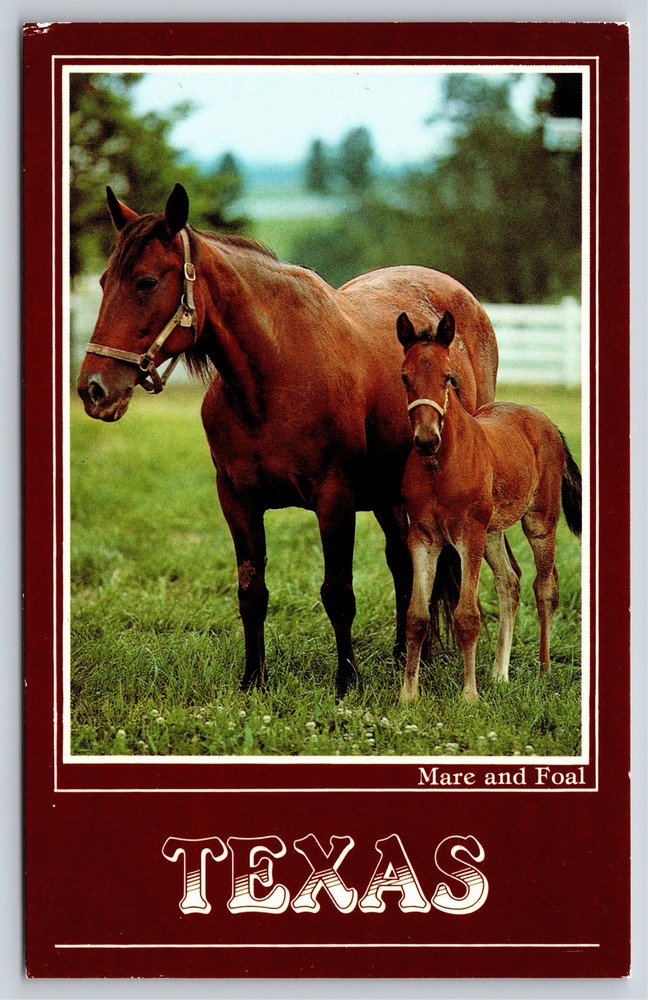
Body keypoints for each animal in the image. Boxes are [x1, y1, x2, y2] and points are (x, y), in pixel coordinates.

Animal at [77, 182, 500, 696]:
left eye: (146, 282)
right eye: (103, 282)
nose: (93, 389)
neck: (275, 375)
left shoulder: (334, 500)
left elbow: (338, 593)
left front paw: (346, 681)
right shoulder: (236, 500)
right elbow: (251, 591)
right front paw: (253, 679)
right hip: (389, 498)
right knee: (403, 565)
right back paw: (403, 654)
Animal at [396, 310, 582, 703]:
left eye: (448, 377)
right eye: (405, 376)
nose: (426, 440)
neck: (440, 466)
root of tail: (545, 421)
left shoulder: (469, 535)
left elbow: (468, 616)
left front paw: (469, 696)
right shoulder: (422, 537)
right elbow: (417, 615)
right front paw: (408, 696)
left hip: (538, 521)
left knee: (545, 587)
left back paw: (544, 672)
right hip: (493, 530)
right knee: (510, 582)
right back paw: (499, 674)